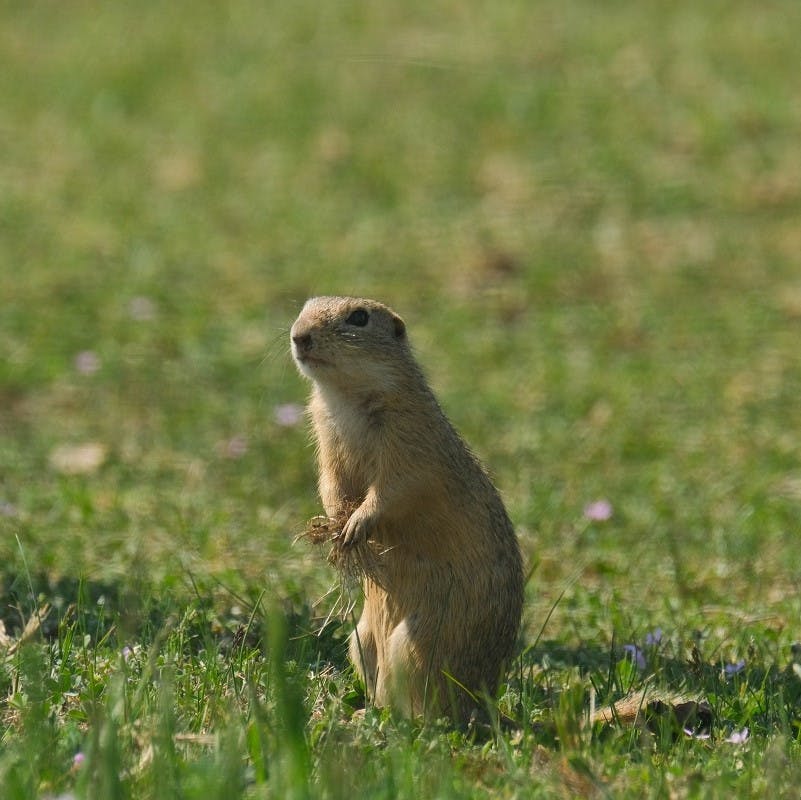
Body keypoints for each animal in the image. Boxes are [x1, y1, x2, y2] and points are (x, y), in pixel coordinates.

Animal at [290, 296, 520, 720]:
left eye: (359, 317)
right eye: (306, 305)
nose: (299, 335)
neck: (345, 398)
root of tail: (484, 705)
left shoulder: (409, 442)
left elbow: (393, 489)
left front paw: (354, 526)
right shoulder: (327, 440)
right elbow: (330, 482)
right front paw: (334, 521)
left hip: (418, 644)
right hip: (359, 640)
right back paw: (361, 713)